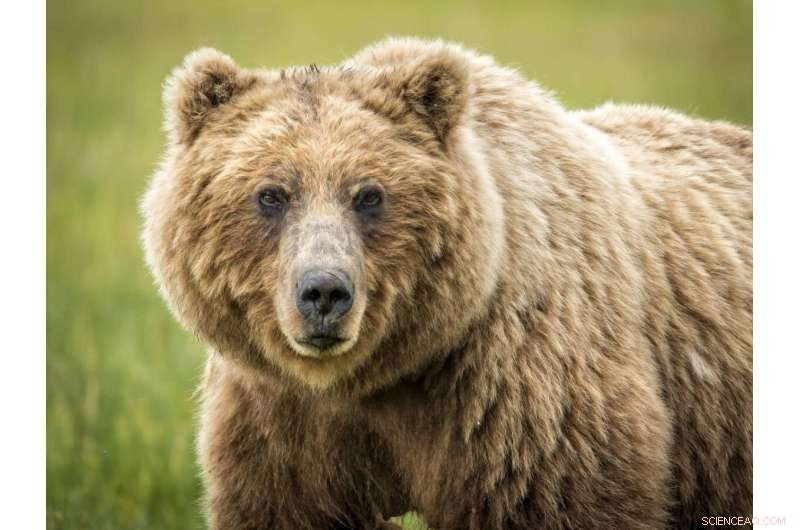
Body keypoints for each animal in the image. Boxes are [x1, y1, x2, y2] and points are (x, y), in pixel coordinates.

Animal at [142, 38, 752, 530]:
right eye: (271, 194)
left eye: (369, 194)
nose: (324, 293)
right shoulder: (280, 421)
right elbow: (285, 504)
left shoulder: (517, 394)